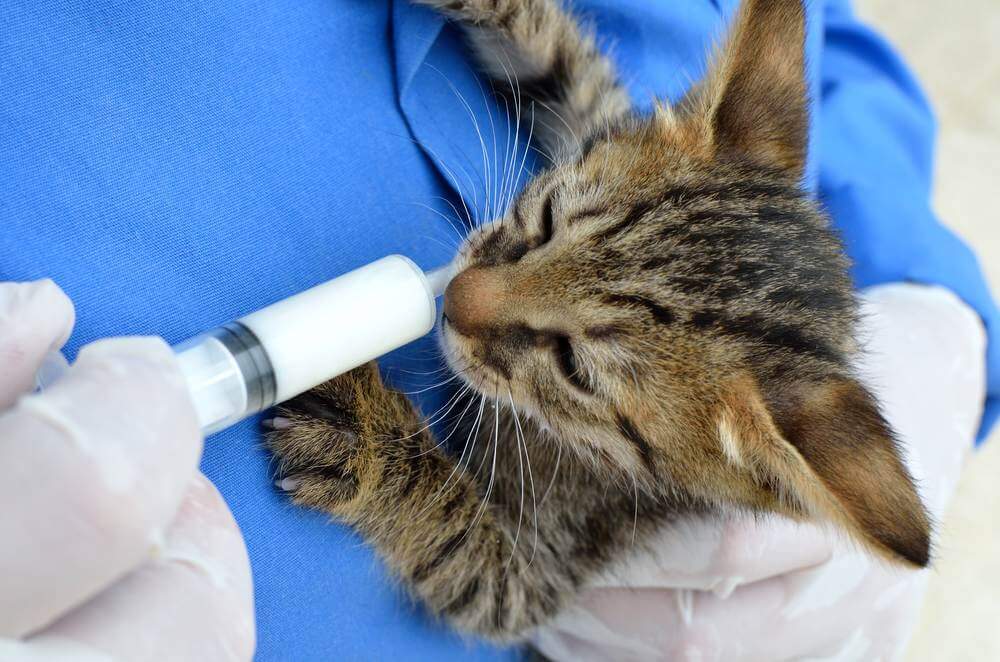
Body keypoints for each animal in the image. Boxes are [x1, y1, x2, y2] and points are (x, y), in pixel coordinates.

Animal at [268, 0, 928, 644]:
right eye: (547, 221)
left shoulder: (541, 568)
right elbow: (558, 50)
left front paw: (366, 438)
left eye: (573, 368)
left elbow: (457, 534)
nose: (452, 297)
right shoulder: (598, 107)